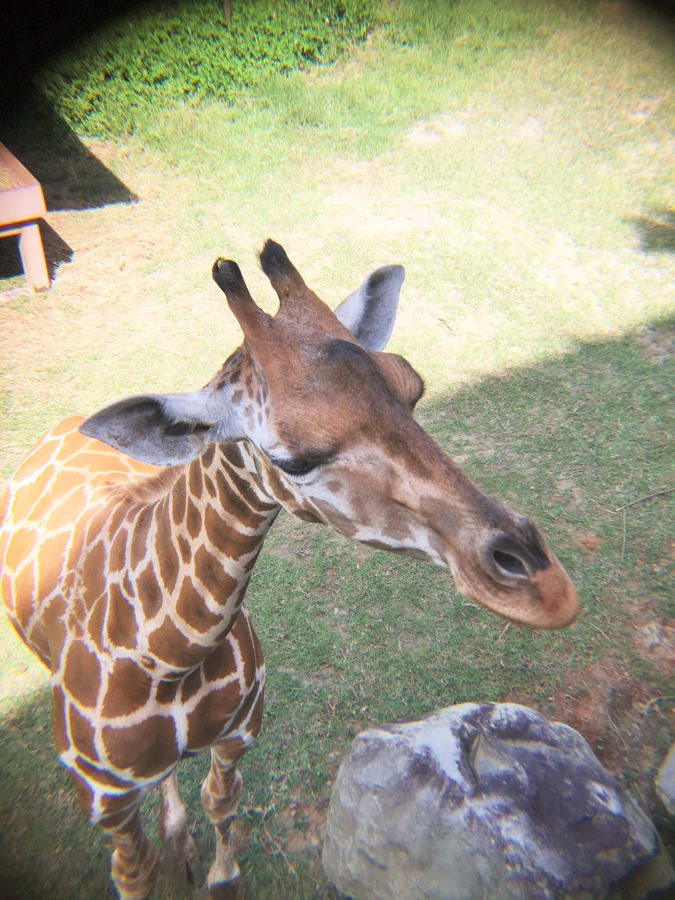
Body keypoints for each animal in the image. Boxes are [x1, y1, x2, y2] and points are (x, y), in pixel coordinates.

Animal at [1, 241, 580, 900]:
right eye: (292, 460)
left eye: (414, 387)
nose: (546, 588)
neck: (169, 660)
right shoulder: (104, 800)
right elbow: (134, 872)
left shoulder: (240, 733)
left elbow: (220, 802)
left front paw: (218, 875)